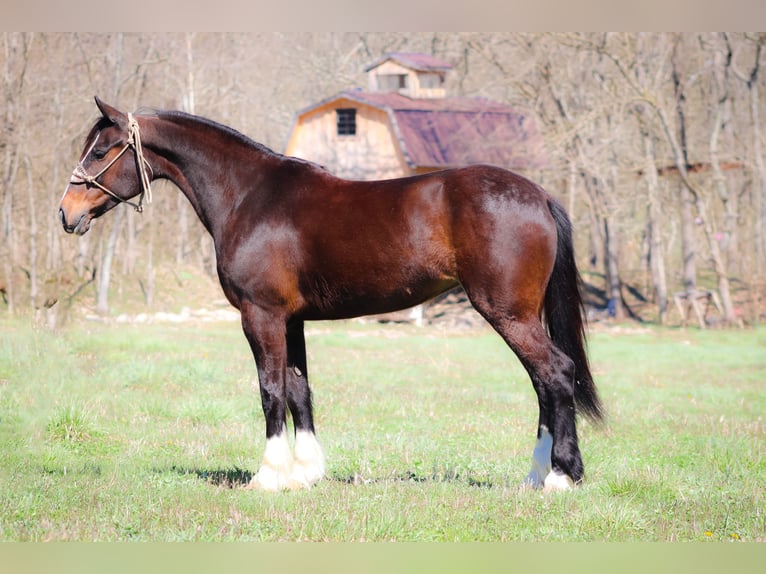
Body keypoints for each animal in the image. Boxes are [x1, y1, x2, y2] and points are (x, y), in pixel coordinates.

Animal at [60, 99, 604, 496]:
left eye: (101, 151)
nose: (67, 213)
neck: (249, 196)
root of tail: (538, 195)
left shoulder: (261, 315)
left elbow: (270, 390)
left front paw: (268, 475)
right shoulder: (291, 320)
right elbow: (299, 389)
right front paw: (306, 472)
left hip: (507, 312)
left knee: (555, 374)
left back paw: (560, 476)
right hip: (519, 314)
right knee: (542, 383)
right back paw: (537, 474)